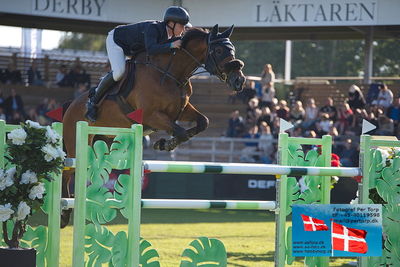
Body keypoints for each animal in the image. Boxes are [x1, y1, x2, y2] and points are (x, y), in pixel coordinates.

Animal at [61, 24, 245, 227]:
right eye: (218, 50)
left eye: (232, 50)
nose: (239, 81)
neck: (171, 73)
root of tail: (70, 105)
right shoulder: (151, 115)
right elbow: (180, 132)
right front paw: (166, 144)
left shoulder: (181, 110)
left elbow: (202, 122)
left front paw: (164, 143)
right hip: (76, 145)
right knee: (67, 172)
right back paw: (64, 214)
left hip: (103, 139)